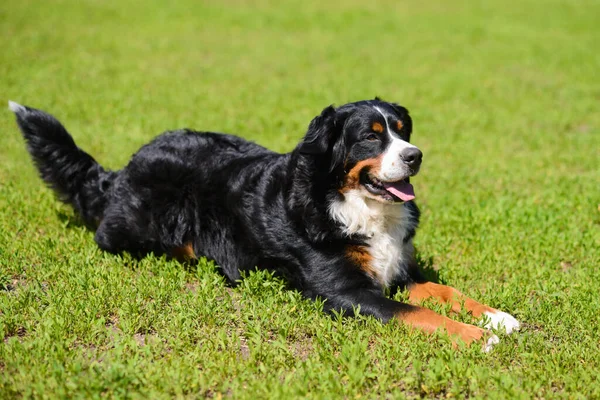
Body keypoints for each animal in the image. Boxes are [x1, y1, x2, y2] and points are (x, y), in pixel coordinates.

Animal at [8, 98, 520, 348]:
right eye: (371, 138)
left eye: (402, 130)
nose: (416, 156)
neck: (350, 202)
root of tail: (125, 168)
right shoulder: (345, 293)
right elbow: (420, 314)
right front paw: (479, 338)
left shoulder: (397, 270)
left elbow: (444, 292)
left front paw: (497, 317)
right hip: (139, 231)